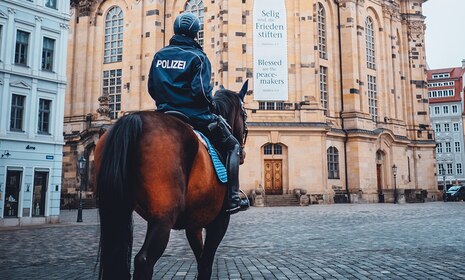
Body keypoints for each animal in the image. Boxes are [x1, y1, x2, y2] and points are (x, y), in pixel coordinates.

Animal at [92, 82, 248, 278]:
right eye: (245, 115)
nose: (242, 153)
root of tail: (133, 118)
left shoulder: (194, 223)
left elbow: (201, 261)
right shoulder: (219, 221)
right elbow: (206, 264)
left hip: (118, 209)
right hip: (163, 217)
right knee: (144, 260)